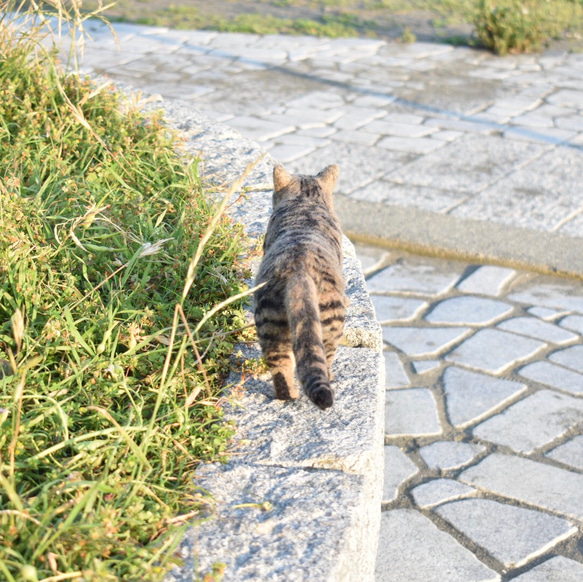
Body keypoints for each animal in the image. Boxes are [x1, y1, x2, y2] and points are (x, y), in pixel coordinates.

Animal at [254, 164, 346, 410]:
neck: (306, 201)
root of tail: (298, 270)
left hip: (271, 326)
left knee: (281, 372)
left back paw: (290, 396)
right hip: (330, 324)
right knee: (323, 359)